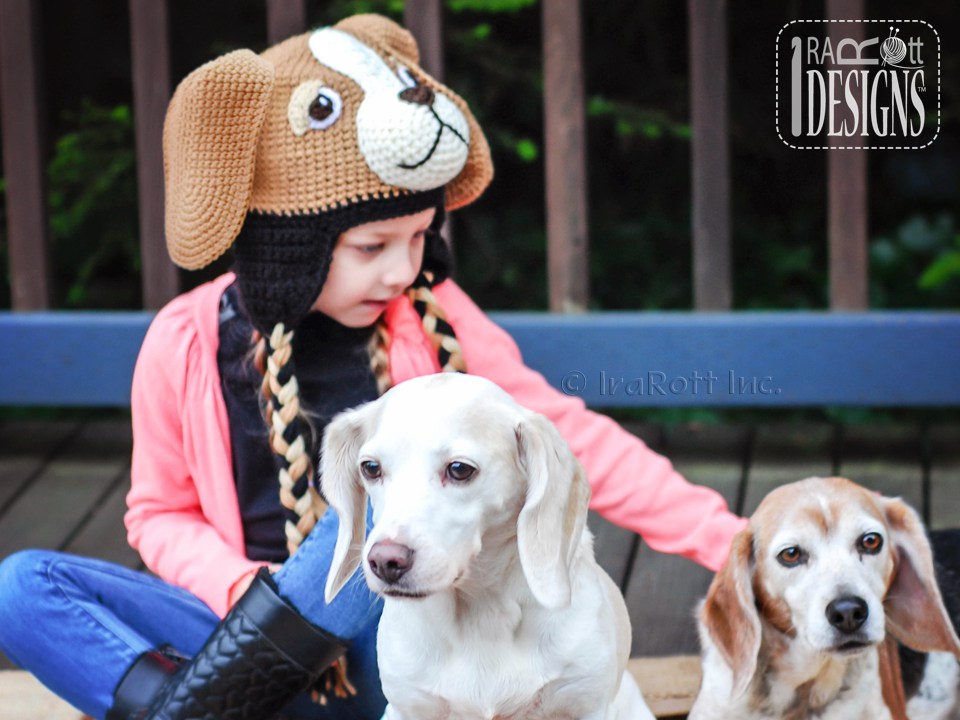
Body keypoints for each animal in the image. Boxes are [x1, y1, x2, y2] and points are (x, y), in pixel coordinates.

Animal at [322, 374, 652, 720]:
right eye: (370, 467)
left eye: (459, 469)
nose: (385, 561)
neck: (481, 613)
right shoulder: (406, 708)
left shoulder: (587, 705)